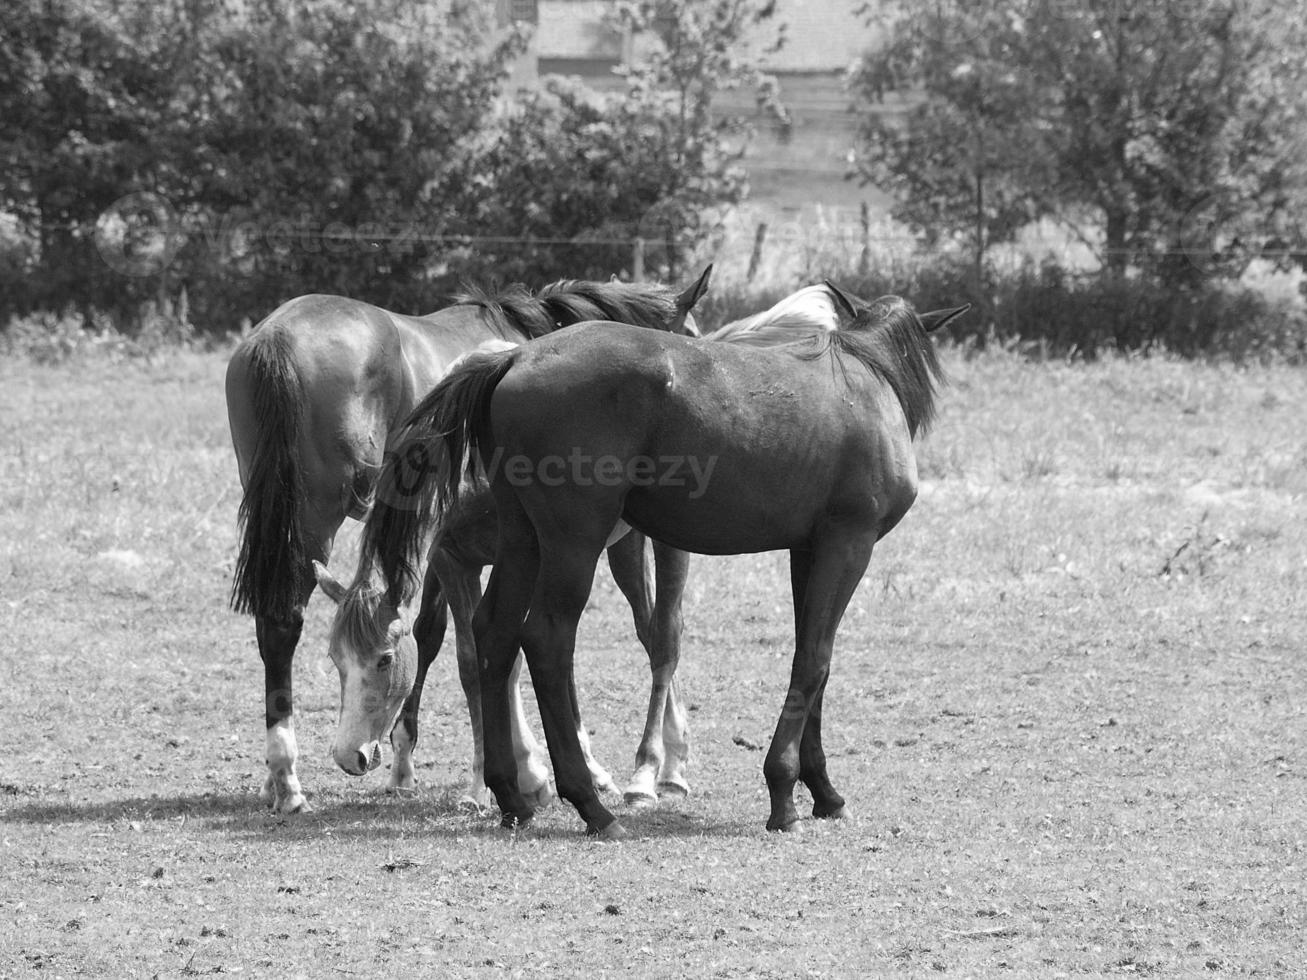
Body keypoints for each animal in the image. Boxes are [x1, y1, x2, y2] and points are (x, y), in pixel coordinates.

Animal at [226, 266, 716, 815]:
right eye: (694, 337)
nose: (351, 756)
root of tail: (275, 340)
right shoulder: (467, 555)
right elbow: (473, 650)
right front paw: (520, 773)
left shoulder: (457, 555)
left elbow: (446, 639)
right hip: (314, 514)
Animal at [363, 282, 967, 836]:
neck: (867, 382)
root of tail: (515, 357)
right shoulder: (848, 544)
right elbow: (813, 660)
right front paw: (784, 796)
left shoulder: (810, 550)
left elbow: (812, 655)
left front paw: (823, 791)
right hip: (572, 544)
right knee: (547, 640)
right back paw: (592, 805)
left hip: (523, 540)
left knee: (494, 634)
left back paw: (513, 797)